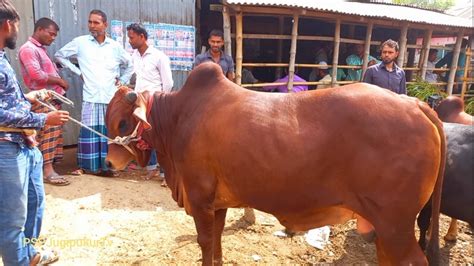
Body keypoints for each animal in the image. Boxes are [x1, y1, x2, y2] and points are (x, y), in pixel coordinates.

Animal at [105, 62, 446, 266]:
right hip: (389, 228)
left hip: (395, 225)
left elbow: (205, 241)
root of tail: (415, 104)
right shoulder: (218, 203)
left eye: (122, 123)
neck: (178, 118)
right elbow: (216, 242)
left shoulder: (200, 199)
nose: (109, 161)